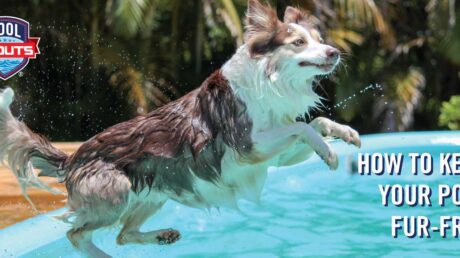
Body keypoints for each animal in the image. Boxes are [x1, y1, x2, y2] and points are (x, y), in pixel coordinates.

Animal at [0, 1, 360, 256]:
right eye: (299, 42)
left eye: (319, 39)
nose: (334, 52)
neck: (270, 80)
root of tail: (71, 158)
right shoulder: (249, 147)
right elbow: (301, 127)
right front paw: (330, 152)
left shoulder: (275, 157)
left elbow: (313, 123)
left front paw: (344, 134)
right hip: (114, 194)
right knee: (75, 234)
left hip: (154, 193)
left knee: (123, 234)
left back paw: (163, 236)